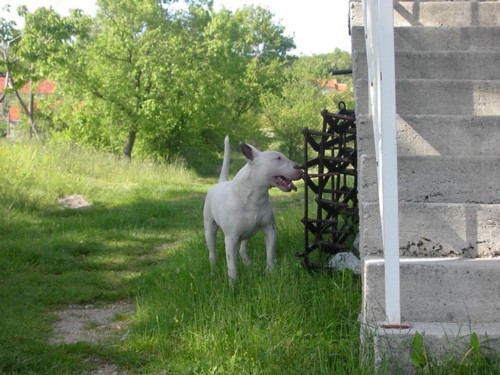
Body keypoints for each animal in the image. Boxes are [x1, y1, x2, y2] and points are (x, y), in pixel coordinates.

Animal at [202, 136, 302, 282]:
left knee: (242, 250)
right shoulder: (231, 238)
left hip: (249, 232)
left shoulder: (269, 229)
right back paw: (213, 270)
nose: (301, 168)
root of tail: (220, 182)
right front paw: (233, 283)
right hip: (210, 229)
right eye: (278, 158)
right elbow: (231, 264)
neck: (253, 198)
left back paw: (248, 264)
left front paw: (270, 272)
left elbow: (270, 254)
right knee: (212, 252)